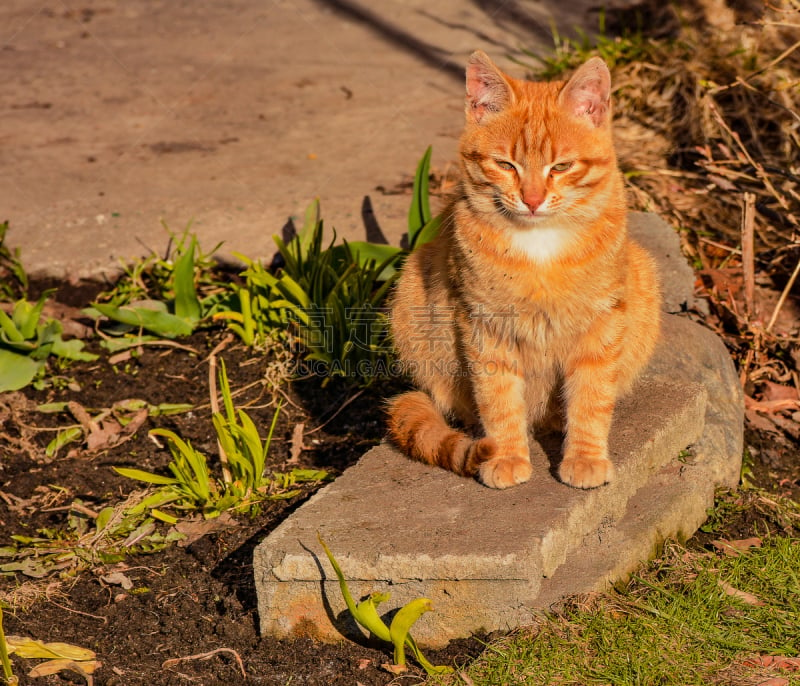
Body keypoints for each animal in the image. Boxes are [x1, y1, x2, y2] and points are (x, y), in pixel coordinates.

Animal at [384, 52, 660, 490]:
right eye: (505, 165)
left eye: (561, 167)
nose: (532, 200)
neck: (540, 245)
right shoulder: (485, 326)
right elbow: (498, 399)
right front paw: (507, 456)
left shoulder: (602, 323)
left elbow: (592, 397)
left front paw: (585, 457)